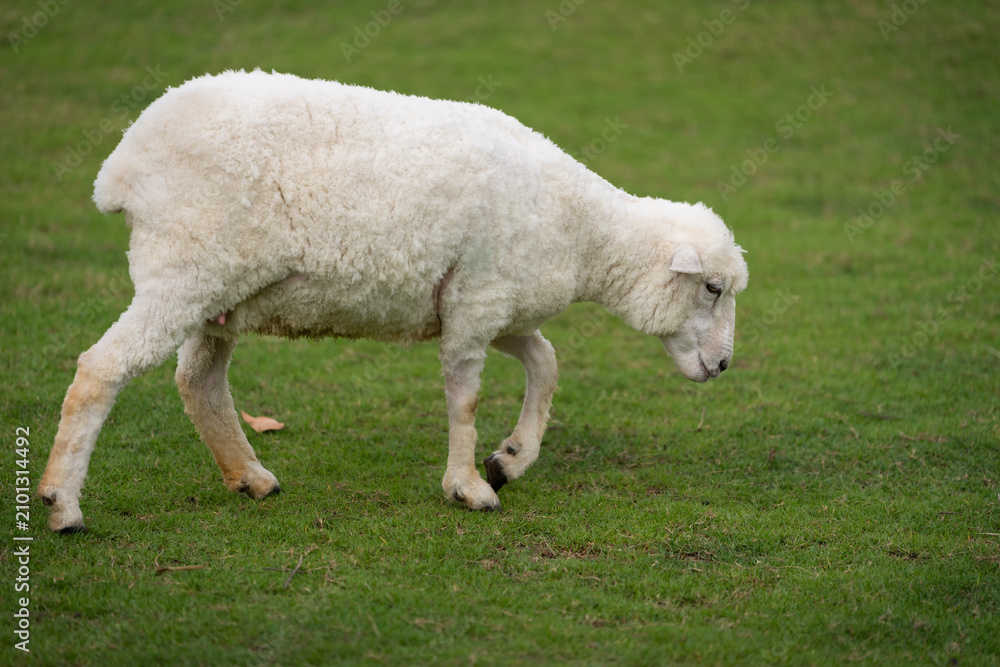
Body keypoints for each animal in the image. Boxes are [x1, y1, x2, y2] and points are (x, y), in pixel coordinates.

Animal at [39, 70, 748, 532]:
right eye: (712, 288)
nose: (722, 367)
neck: (584, 234)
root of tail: (122, 164)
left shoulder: (488, 304)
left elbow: (545, 363)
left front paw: (510, 460)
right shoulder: (478, 303)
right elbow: (465, 399)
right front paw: (468, 488)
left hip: (216, 294)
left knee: (199, 382)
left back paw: (250, 478)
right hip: (183, 271)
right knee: (100, 370)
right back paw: (62, 505)